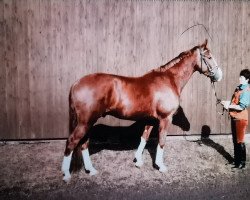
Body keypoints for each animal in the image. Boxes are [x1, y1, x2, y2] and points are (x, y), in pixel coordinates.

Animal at [61, 39, 222, 181]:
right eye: (209, 56)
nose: (220, 75)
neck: (169, 79)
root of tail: (76, 83)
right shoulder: (165, 119)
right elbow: (161, 141)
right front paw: (160, 166)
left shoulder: (150, 120)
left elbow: (144, 138)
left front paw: (138, 162)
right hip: (85, 122)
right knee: (72, 141)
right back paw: (66, 175)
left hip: (89, 122)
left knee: (84, 144)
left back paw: (91, 170)